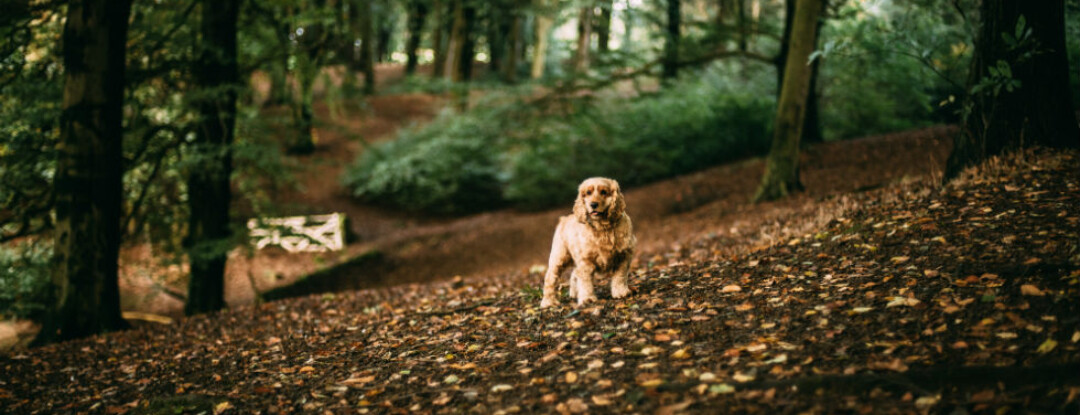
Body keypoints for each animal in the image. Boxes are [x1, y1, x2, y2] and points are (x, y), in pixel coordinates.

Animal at [537, 176, 630, 306]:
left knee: (574, 273)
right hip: (559, 257)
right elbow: (585, 281)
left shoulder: (623, 255)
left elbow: (620, 276)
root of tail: (563, 219)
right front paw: (587, 299)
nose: (593, 204)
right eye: (588, 193)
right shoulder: (585, 260)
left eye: (604, 192)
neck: (603, 228)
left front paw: (621, 292)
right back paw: (548, 302)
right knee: (551, 277)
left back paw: (574, 294)